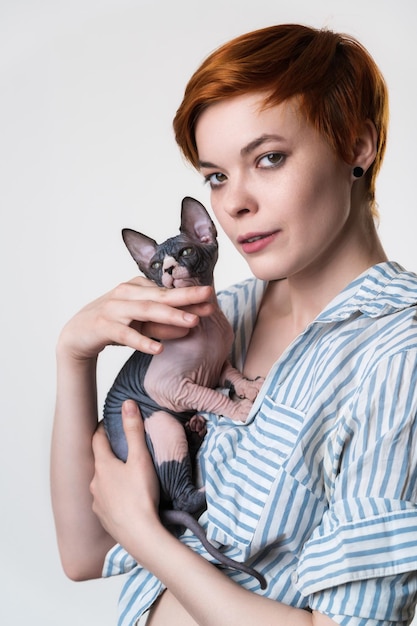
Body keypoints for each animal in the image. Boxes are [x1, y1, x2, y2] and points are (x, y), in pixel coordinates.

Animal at [104, 195, 266, 584]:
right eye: (155, 264)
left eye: (187, 251)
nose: (168, 269)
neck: (204, 322)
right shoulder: (169, 387)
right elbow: (211, 395)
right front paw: (238, 408)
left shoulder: (220, 362)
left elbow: (231, 373)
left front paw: (248, 387)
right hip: (160, 422)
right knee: (181, 499)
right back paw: (212, 485)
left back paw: (196, 430)